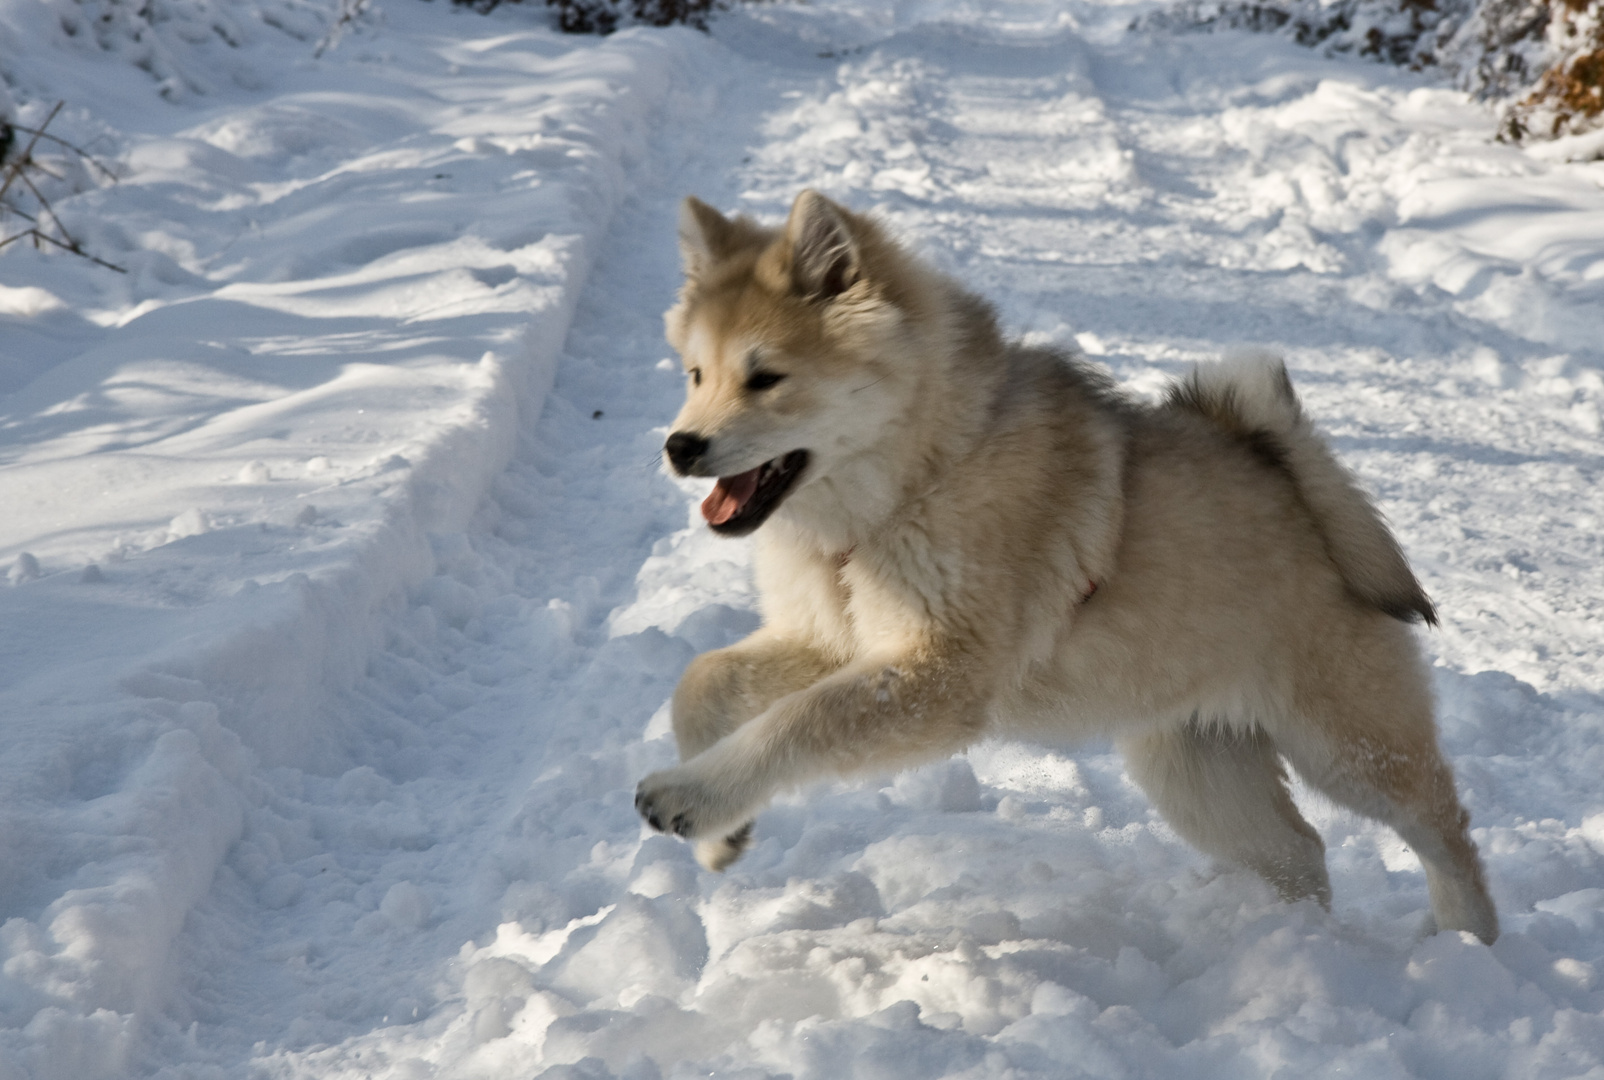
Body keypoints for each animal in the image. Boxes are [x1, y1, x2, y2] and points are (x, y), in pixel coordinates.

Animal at [631, 189, 1494, 937]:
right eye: (696, 373)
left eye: (766, 376)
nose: (679, 447)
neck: (918, 474)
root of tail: (1306, 490)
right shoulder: (833, 642)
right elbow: (701, 681)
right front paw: (718, 832)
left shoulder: (936, 674)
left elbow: (795, 723)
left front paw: (689, 794)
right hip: (1198, 765)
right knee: (1300, 852)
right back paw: (1291, 943)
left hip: (1348, 745)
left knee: (1444, 826)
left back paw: (1463, 945)